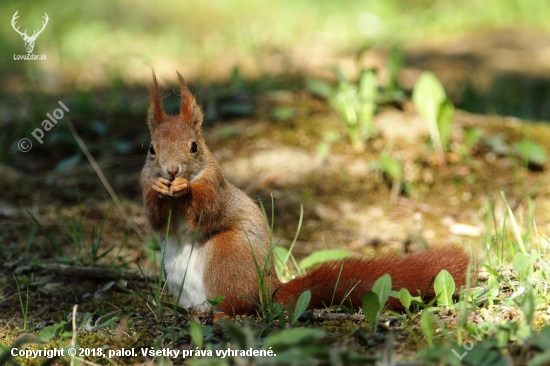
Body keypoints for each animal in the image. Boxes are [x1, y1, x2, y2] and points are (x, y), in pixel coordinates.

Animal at [141, 71, 470, 314]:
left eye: (194, 146)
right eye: (152, 149)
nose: (171, 171)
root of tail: (269, 290)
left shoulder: (216, 187)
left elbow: (207, 210)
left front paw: (184, 188)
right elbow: (157, 220)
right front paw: (159, 190)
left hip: (228, 256)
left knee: (240, 306)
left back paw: (224, 315)